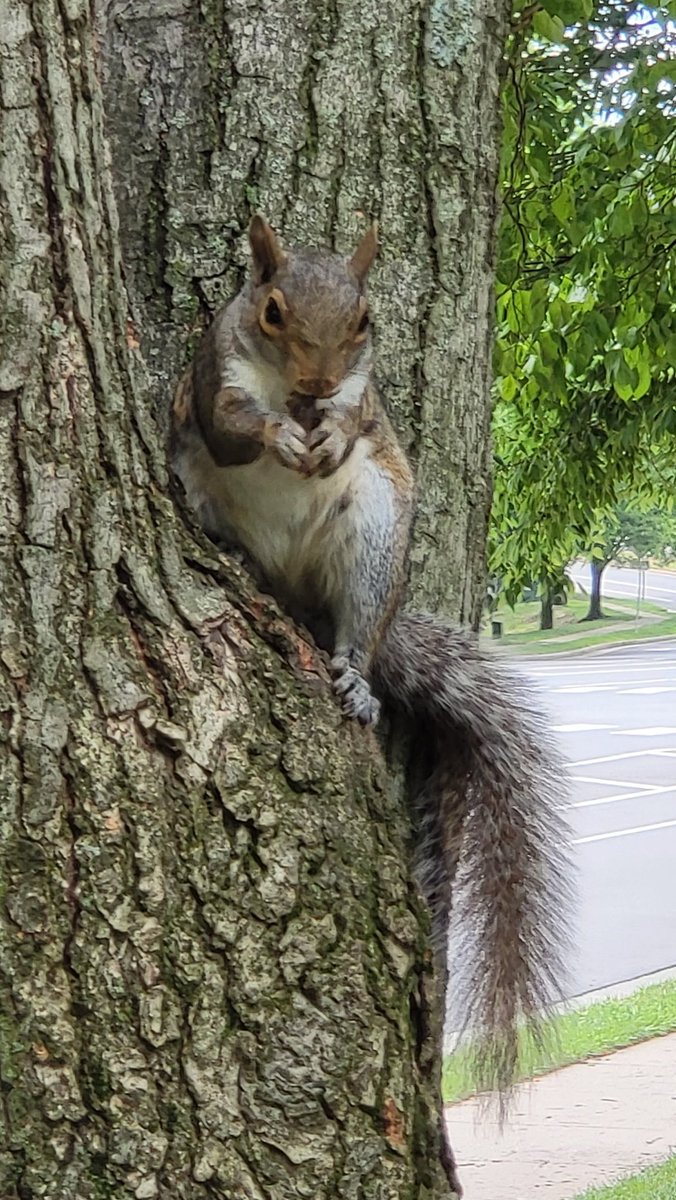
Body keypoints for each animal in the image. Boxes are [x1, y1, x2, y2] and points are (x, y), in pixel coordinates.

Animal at [171, 218, 573, 1200]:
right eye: (271, 311)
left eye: (365, 320)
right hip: (214, 495)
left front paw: (331, 431)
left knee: (356, 625)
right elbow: (235, 425)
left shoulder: (366, 404)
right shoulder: (212, 377)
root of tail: (295, 591)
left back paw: (354, 671)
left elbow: (360, 421)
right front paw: (281, 433)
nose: (316, 390)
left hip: (377, 529)